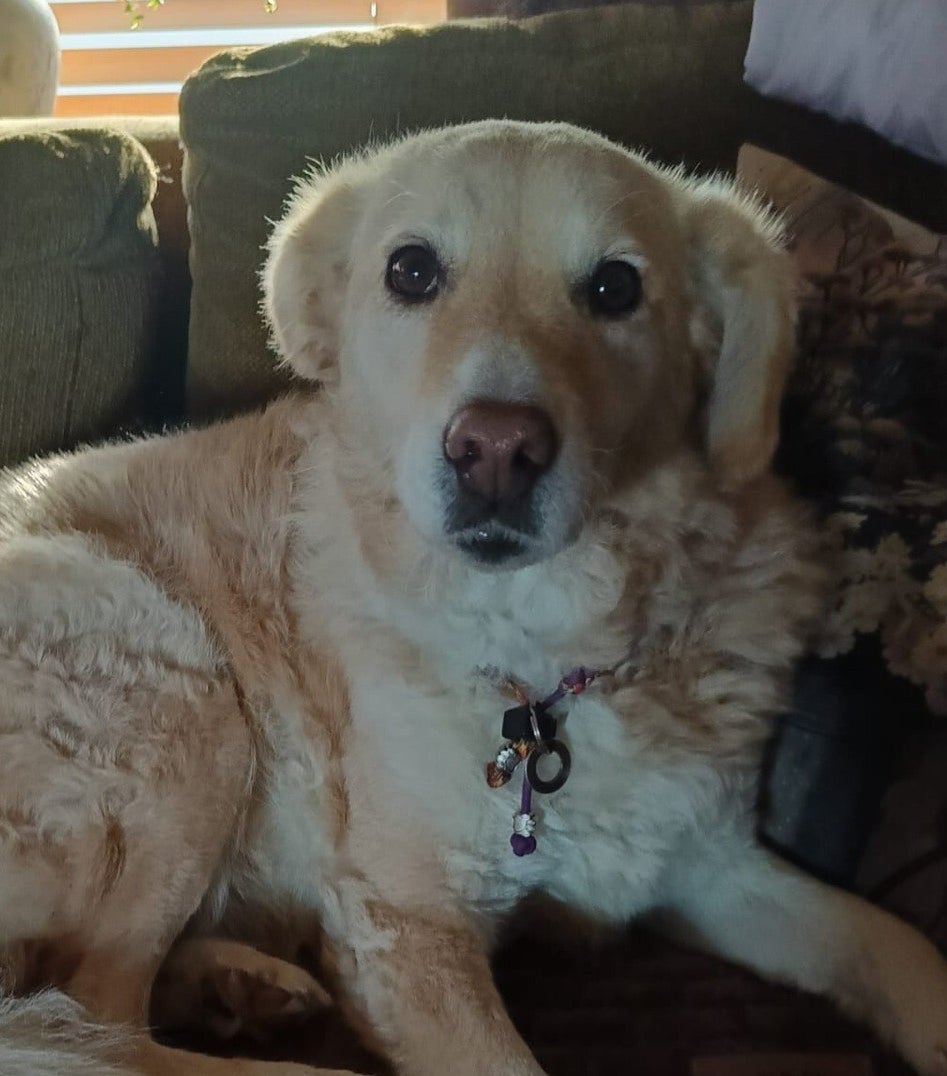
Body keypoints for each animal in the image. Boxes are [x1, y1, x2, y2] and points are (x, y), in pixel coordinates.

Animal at [0, 120, 945, 1076]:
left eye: (615, 287)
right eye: (411, 271)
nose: (496, 448)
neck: (545, 663)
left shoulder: (708, 865)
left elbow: (899, 951)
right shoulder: (408, 925)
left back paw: (239, 987)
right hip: (180, 685)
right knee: (96, 1016)